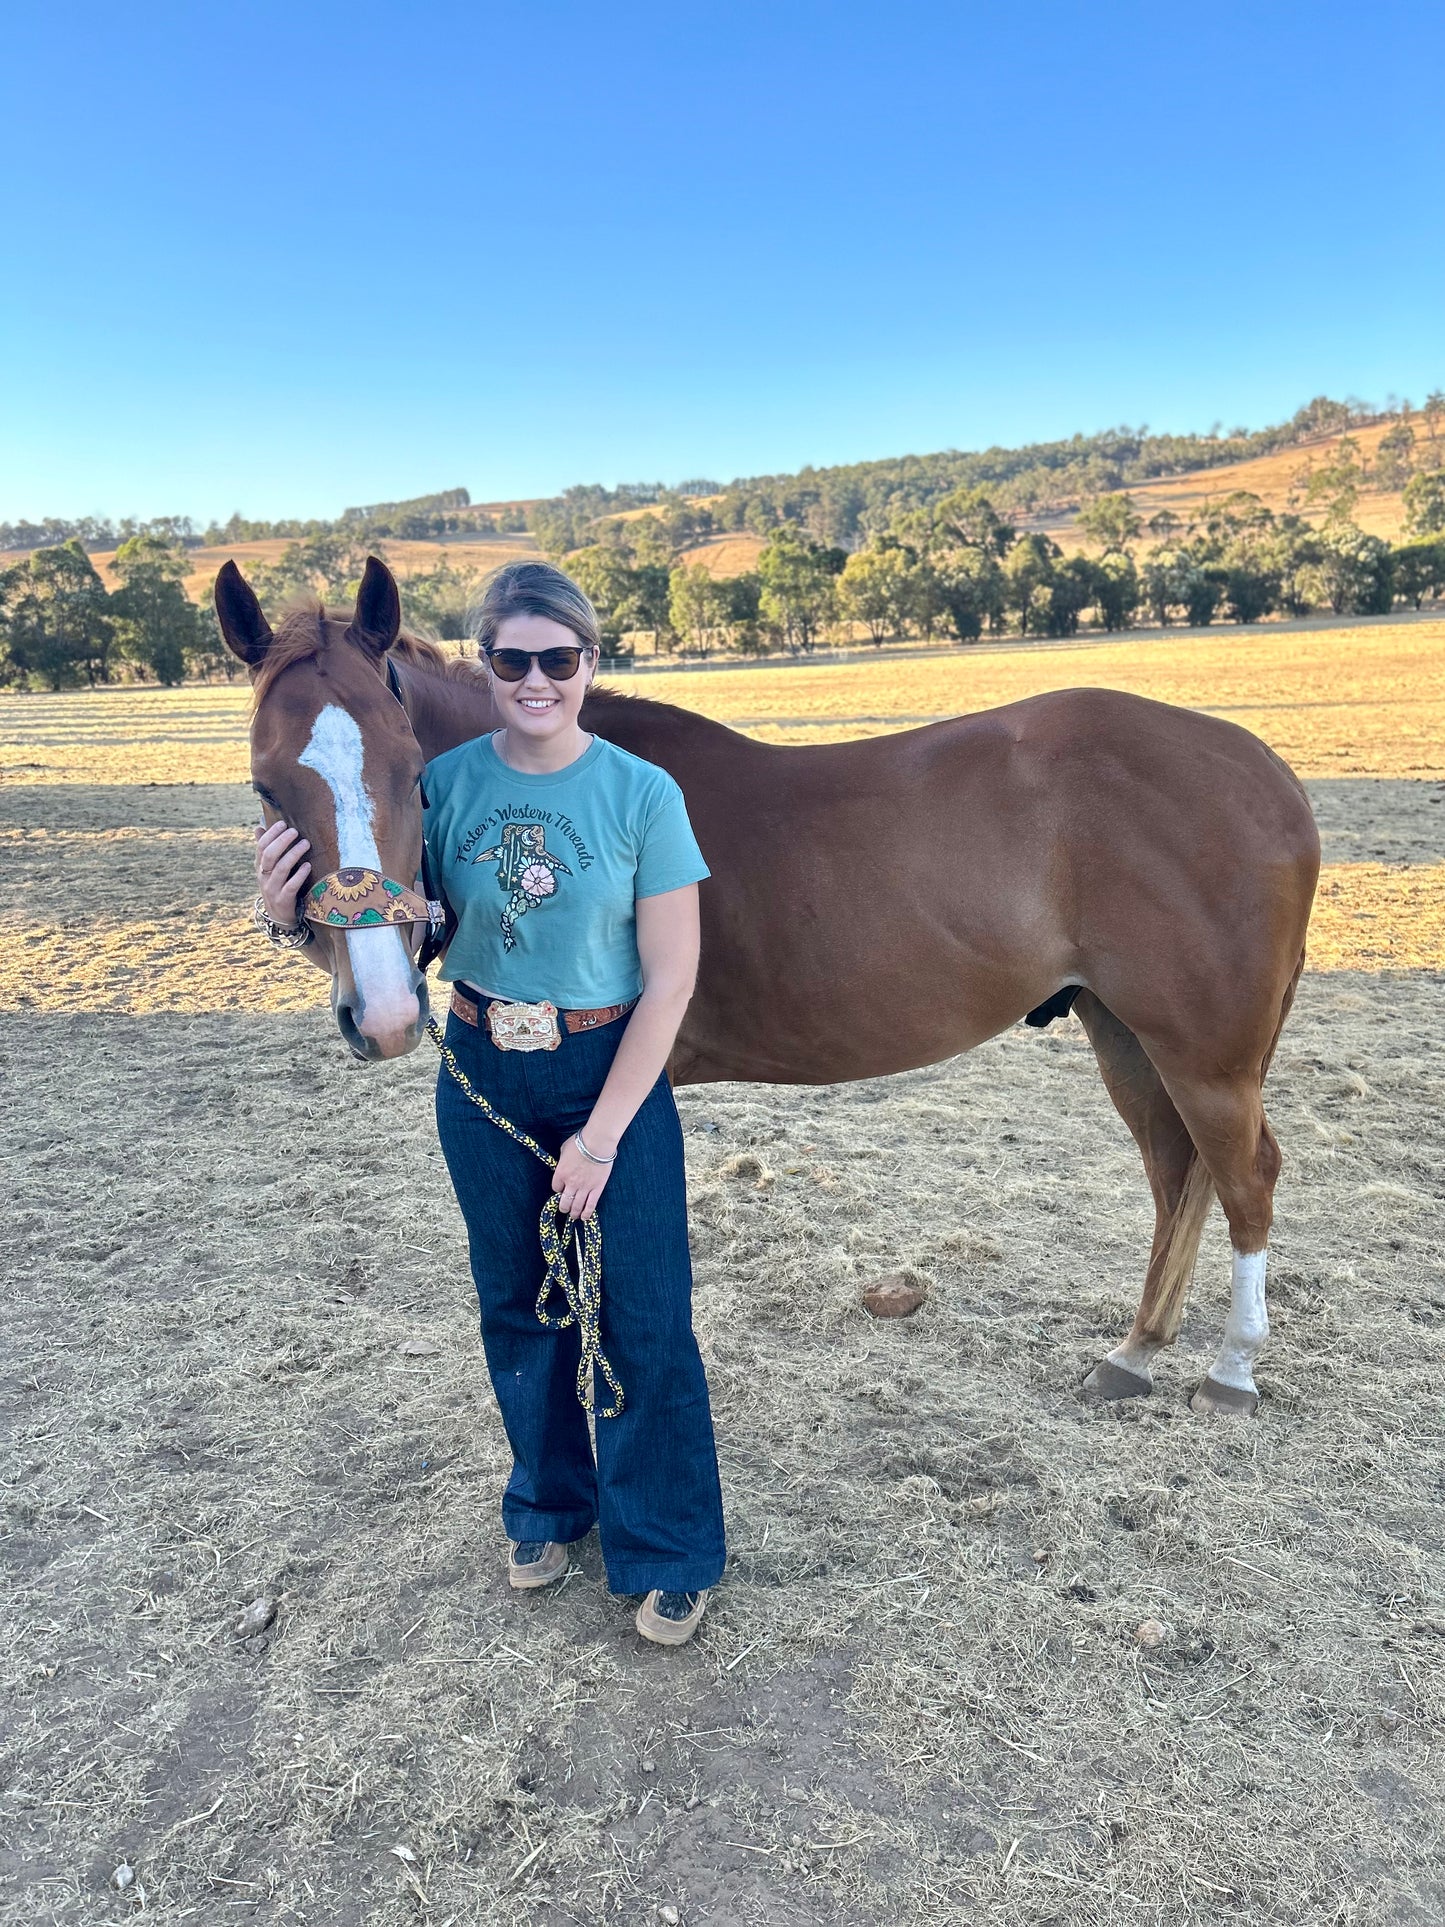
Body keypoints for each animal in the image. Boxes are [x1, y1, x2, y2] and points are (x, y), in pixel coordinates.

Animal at [217, 558, 1325, 1418]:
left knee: (1244, 1177)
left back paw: (1230, 1371)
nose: (384, 1014)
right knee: (1176, 1174)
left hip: (1204, 1054)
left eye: (410, 771)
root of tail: (1265, 773)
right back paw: (1134, 1352)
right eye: (268, 785)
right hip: (1125, 1033)